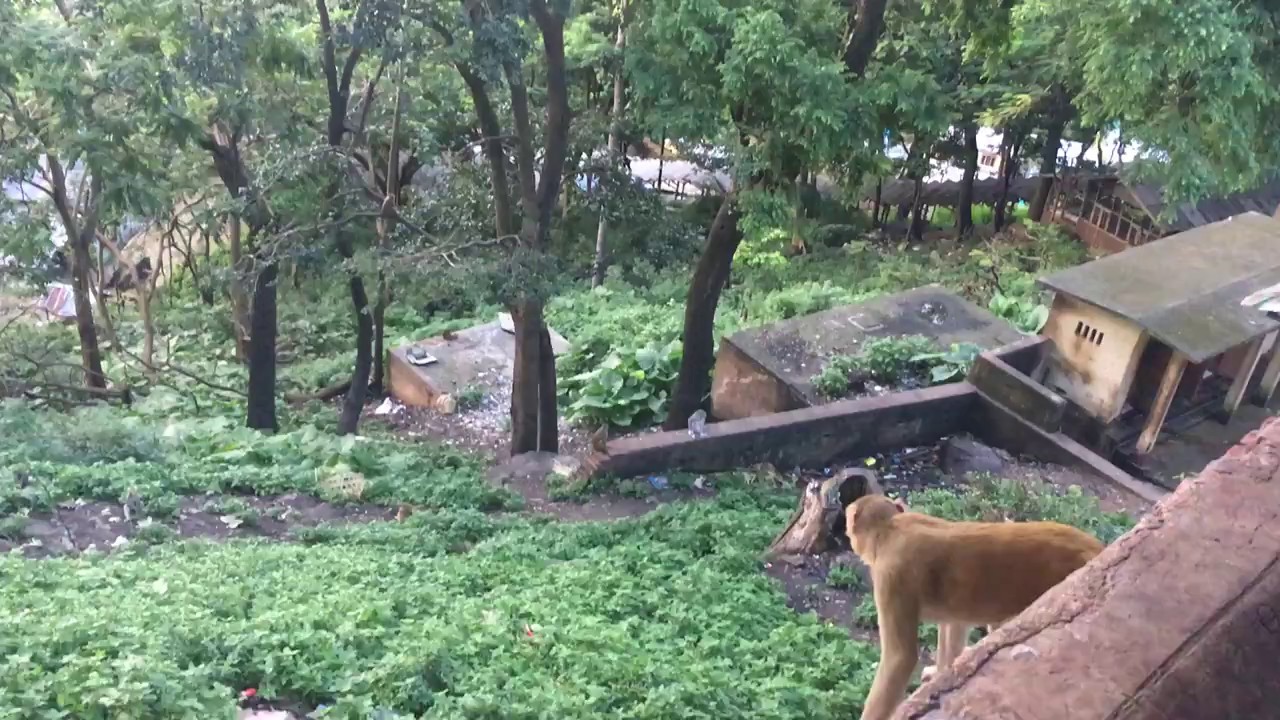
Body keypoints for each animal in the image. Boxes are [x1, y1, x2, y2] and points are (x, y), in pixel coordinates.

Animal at [845, 494, 1104, 720]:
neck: (889, 529)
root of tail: (1096, 548)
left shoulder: (891, 576)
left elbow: (901, 657)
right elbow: (953, 624)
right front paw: (941, 675)